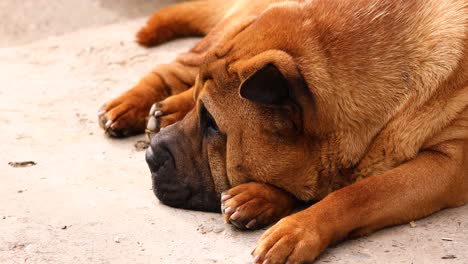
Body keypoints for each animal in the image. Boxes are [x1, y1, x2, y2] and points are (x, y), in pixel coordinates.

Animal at [99, 1, 468, 262]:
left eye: (213, 124)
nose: (150, 156)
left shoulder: (448, 164)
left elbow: (360, 192)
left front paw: (286, 221)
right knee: (176, 67)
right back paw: (134, 107)